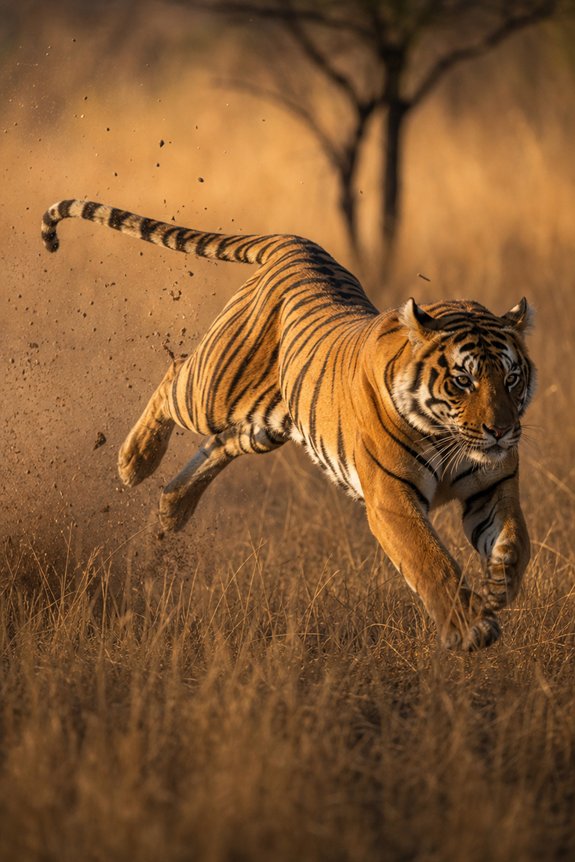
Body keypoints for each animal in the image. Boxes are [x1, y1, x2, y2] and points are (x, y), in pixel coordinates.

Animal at [41, 199, 536, 651]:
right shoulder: (392, 499)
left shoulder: (494, 484)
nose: (500, 430)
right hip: (214, 390)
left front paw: (500, 582)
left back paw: (171, 508)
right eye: (463, 380)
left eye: (511, 378)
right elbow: (431, 560)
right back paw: (135, 462)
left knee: (221, 445)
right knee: (175, 373)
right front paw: (470, 629)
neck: (450, 437)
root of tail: (295, 241)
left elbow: (517, 538)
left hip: (267, 424)